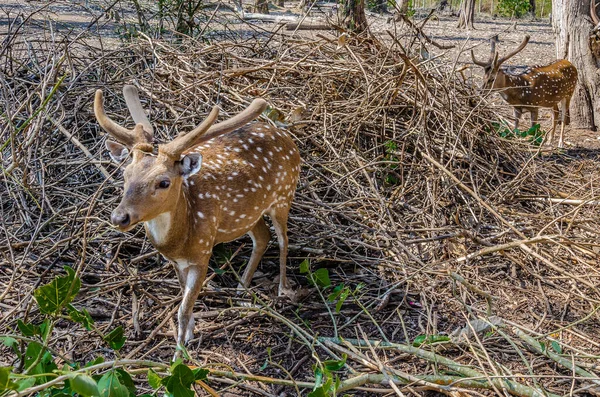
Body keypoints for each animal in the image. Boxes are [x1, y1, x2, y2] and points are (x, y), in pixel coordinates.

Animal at [96, 85, 302, 352]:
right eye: (125, 174)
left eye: (164, 182)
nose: (119, 216)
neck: (180, 239)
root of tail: (287, 138)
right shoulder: (177, 261)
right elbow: (184, 298)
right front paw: (190, 333)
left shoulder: (203, 253)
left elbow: (182, 310)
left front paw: (181, 352)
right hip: (249, 214)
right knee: (262, 237)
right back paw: (241, 289)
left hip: (284, 196)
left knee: (283, 240)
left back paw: (283, 289)